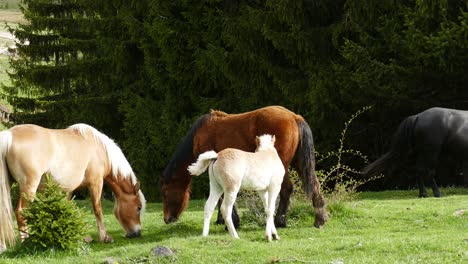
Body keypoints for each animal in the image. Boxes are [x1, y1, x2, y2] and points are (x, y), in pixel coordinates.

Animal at [0, 123, 146, 252]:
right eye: (138, 207)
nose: (137, 233)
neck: (100, 149)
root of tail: (9, 135)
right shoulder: (96, 183)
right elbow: (98, 209)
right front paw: (104, 237)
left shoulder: (68, 191)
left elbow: (66, 210)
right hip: (29, 187)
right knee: (21, 212)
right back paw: (25, 242)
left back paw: (3, 247)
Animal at [159, 105, 328, 229]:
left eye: (165, 193)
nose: (166, 219)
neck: (199, 134)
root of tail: (294, 117)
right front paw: (222, 220)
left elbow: (222, 194)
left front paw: (231, 222)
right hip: (298, 164)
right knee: (314, 185)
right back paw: (320, 218)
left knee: (286, 189)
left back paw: (279, 221)